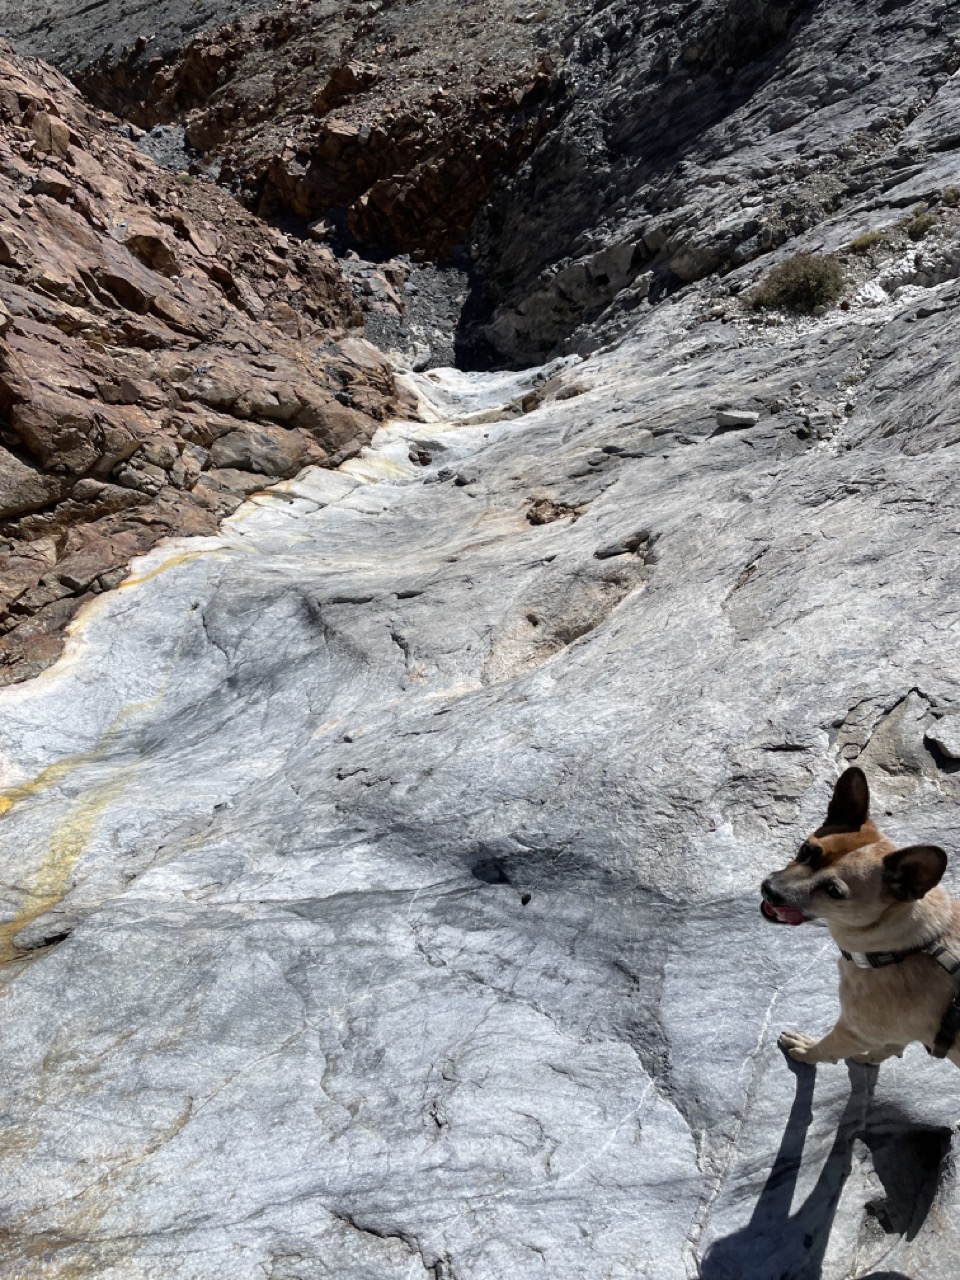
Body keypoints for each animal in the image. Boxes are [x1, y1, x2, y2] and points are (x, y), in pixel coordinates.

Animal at [757, 768, 960, 1070]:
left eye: (834, 891)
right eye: (806, 850)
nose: (768, 889)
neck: (902, 950)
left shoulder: (853, 1032)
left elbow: (824, 1049)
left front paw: (805, 1050)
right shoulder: (896, 1035)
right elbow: (892, 1047)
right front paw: (872, 1059)